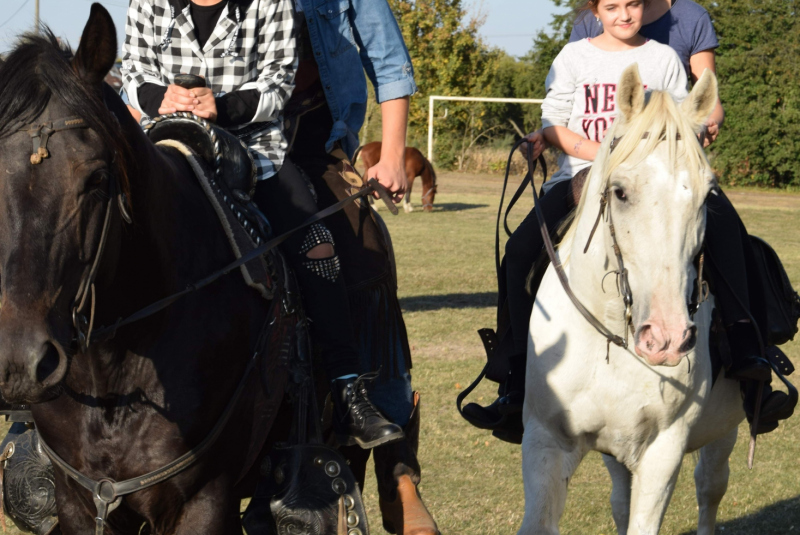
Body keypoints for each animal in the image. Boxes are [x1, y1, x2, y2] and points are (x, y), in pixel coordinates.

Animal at [520, 66, 744, 535]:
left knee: (710, 488)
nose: (666, 337)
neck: (610, 333)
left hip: (722, 431)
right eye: (620, 192)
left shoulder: (663, 453)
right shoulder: (545, 442)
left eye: (707, 195)